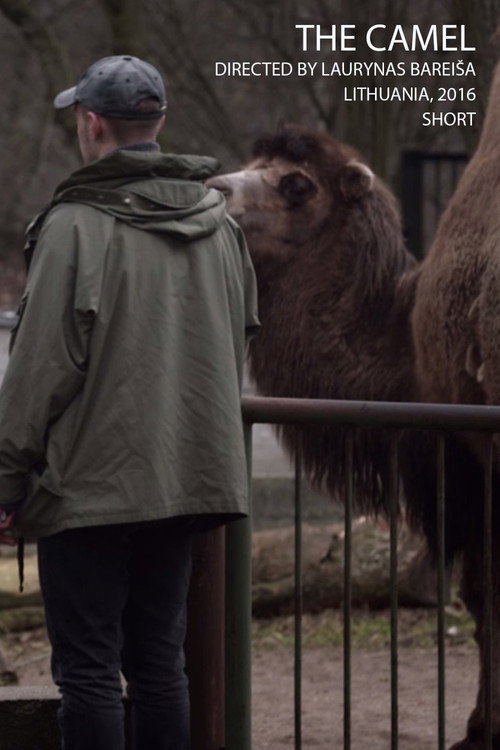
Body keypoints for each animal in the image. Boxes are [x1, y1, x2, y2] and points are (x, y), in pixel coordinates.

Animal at [206, 95, 500, 746]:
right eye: (250, 166)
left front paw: (481, 730)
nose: (213, 188)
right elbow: (480, 595)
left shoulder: (471, 455)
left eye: (296, 184)